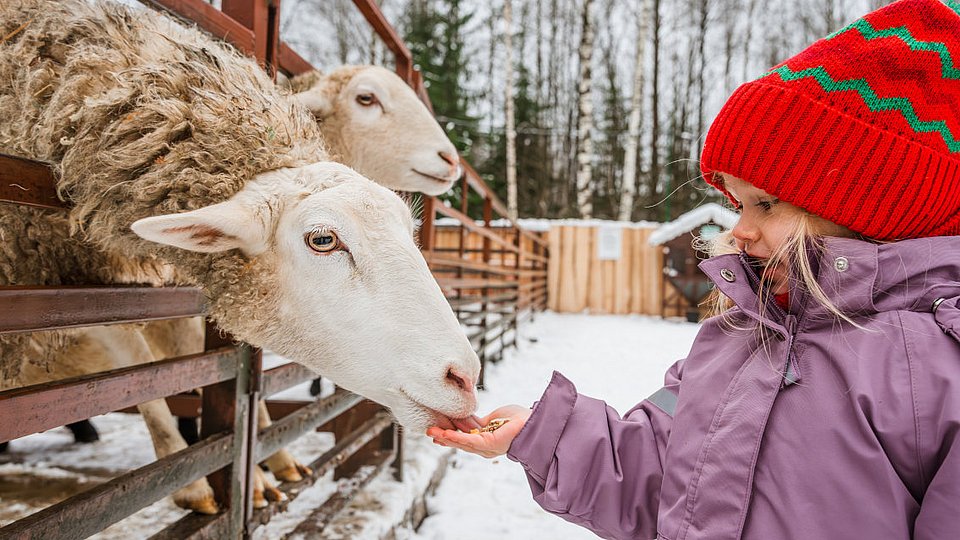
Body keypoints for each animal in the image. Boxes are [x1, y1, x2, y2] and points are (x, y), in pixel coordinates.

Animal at [0, 0, 479, 513]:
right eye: (323, 240)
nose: (466, 377)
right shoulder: (80, 295)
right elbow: (141, 369)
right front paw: (201, 481)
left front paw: (267, 466)